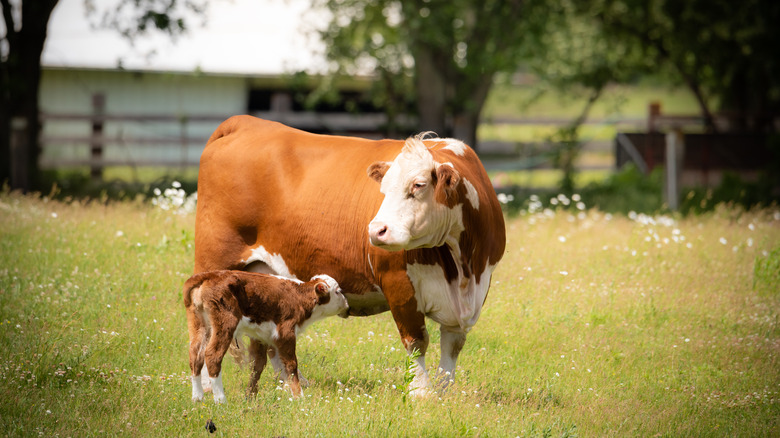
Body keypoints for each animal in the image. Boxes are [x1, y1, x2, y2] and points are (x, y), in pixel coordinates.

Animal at [183, 268, 348, 402]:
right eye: (338, 291)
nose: (347, 305)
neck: (299, 298)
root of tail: (210, 275)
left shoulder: (261, 337)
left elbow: (258, 365)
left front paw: (250, 396)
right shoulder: (285, 333)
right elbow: (291, 364)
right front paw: (298, 396)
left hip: (199, 324)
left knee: (195, 355)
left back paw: (197, 398)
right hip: (225, 323)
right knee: (212, 355)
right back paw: (221, 400)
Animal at [195, 116, 506, 396]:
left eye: (418, 185)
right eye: (383, 189)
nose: (376, 230)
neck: (462, 268)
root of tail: (246, 122)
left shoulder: (475, 291)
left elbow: (452, 345)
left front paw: (444, 393)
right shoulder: (399, 284)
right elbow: (416, 340)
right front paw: (421, 393)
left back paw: (290, 383)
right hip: (214, 266)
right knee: (207, 333)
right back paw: (210, 387)